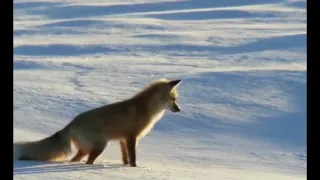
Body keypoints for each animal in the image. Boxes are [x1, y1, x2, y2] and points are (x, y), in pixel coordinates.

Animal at [13, 78, 181, 167]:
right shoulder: (131, 137)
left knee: (76, 159)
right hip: (100, 146)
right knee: (88, 161)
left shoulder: (122, 139)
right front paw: (134, 168)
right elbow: (132, 156)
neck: (145, 109)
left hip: (85, 149)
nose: (179, 110)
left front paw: (125, 167)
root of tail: (71, 123)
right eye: (173, 100)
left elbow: (125, 157)